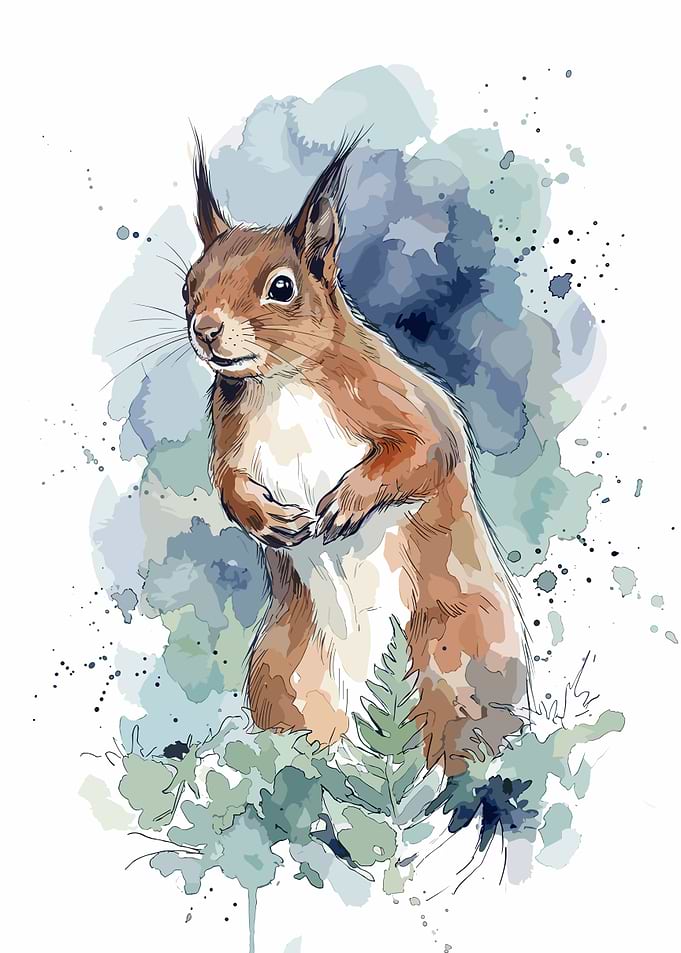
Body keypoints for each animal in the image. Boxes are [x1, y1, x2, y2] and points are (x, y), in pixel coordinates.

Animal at [182, 133, 529, 776]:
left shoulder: (404, 402)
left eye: (282, 287)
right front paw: (267, 519)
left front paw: (345, 502)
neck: (282, 383)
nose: (205, 327)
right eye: (189, 283)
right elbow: (228, 486)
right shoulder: (228, 437)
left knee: (458, 742)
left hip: (453, 657)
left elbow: (427, 452)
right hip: (283, 677)